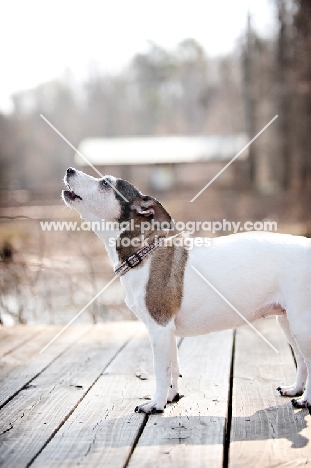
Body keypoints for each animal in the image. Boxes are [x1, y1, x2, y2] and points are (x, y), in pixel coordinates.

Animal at [62, 167, 311, 414]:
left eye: (105, 183)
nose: (69, 169)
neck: (145, 252)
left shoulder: (159, 329)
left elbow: (160, 371)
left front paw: (156, 403)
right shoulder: (167, 332)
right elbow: (173, 367)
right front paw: (171, 396)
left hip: (301, 325)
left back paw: (306, 400)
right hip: (287, 323)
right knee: (302, 360)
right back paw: (295, 390)